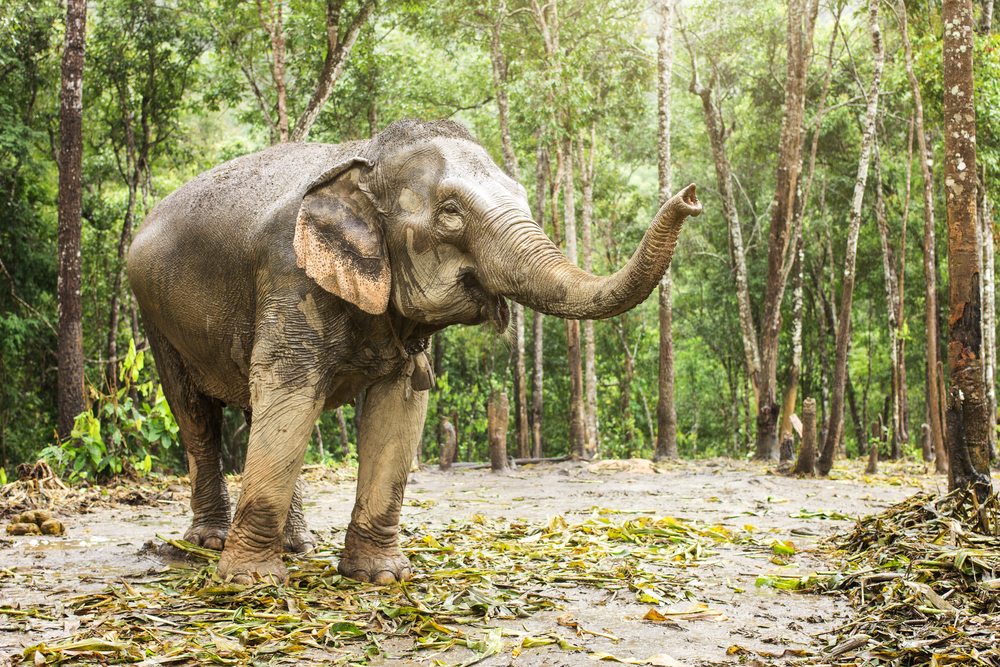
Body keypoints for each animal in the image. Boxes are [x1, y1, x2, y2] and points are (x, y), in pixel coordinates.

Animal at [127, 118, 704, 584]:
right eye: (449, 212)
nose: (692, 196)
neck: (365, 159)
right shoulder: (290, 273)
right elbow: (289, 392)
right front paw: (248, 583)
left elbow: (397, 412)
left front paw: (380, 577)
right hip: (155, 317)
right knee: (198, 418)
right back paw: (210, 543)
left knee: (254, 410)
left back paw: (297, 545)